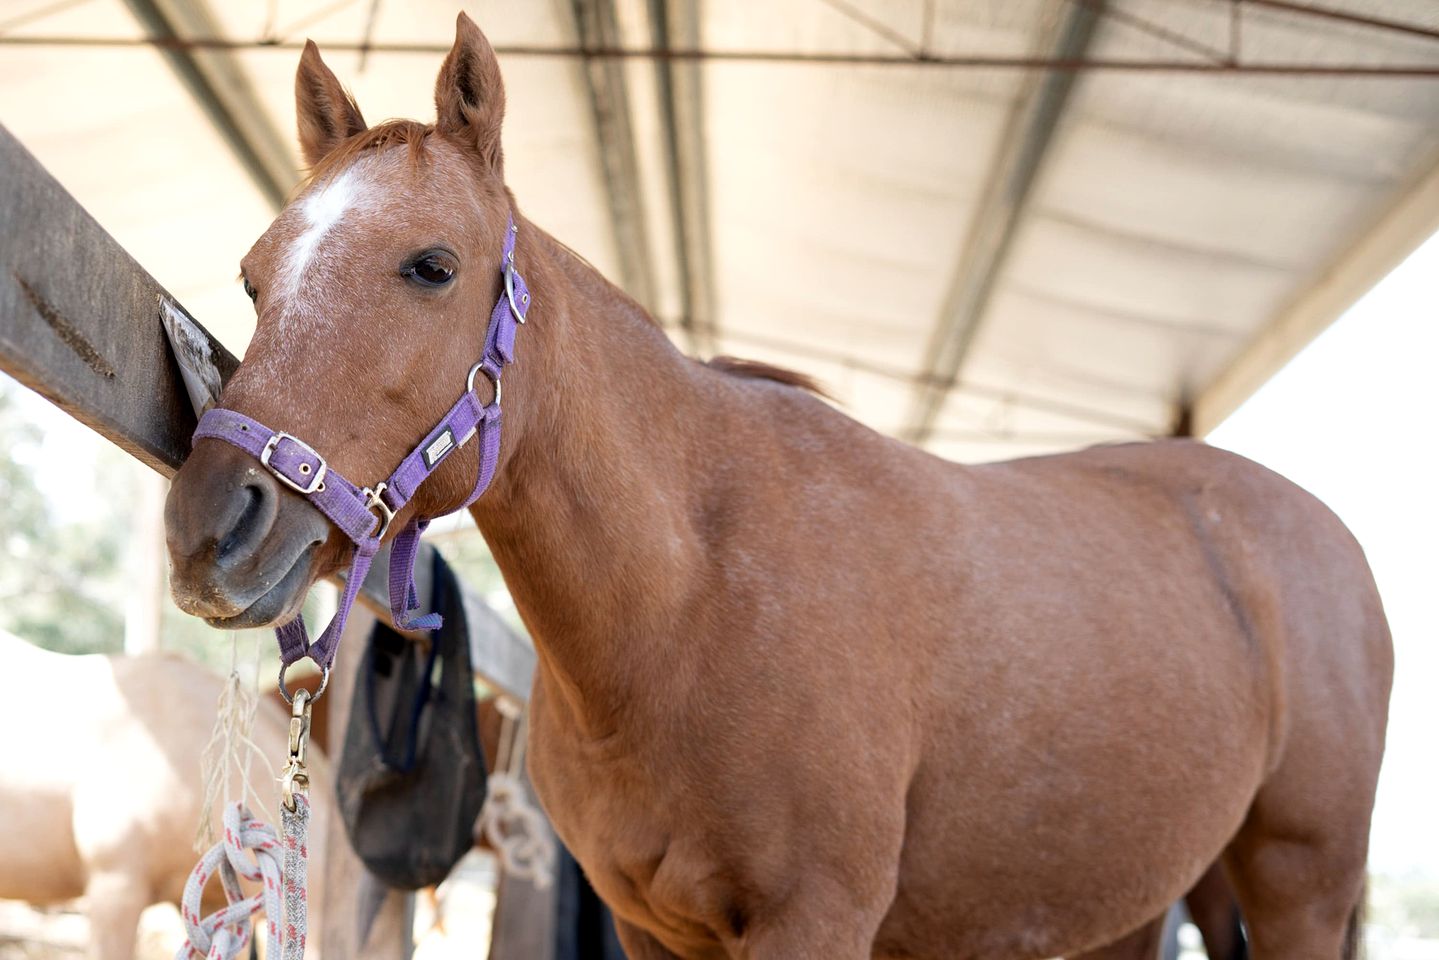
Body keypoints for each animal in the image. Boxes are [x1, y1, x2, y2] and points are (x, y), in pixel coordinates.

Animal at [165, 15, 1392, 960]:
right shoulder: (653, 928)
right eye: (255, 277)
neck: (686, 604)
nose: (209, 527)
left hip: (1297, 885)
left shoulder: (815, 919)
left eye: (432, 266)